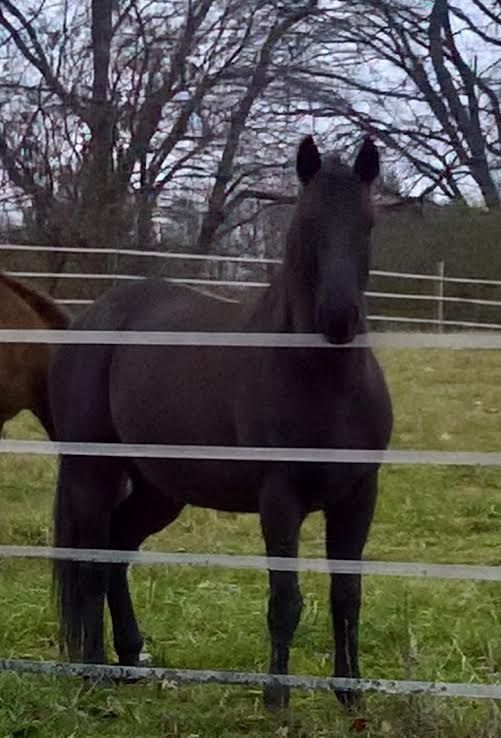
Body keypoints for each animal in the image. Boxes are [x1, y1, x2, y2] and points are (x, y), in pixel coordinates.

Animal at [50, 135, 393, 709]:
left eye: (368, 224)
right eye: (306, 223)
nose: (338, 318)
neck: (324, 381)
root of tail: (96, 316)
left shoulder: (358, 495)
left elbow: (347, 595)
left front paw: (351, 698)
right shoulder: (280, 499)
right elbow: (285, 600)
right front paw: (276, 699)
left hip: (158, 489)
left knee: (117, 552)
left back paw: (130, 659)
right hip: (92, 472)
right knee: (93, 566)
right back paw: (94, 672)